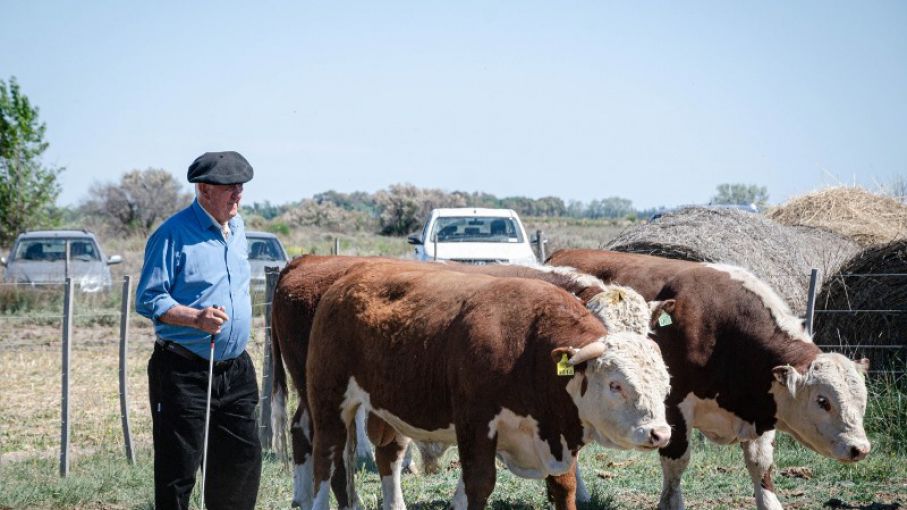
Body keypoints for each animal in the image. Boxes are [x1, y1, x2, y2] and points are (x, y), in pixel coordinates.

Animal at [270, 256, 660, 508]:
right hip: (320, 392)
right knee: (323, 445)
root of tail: (306, 261)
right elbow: (477, 478)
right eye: (614, 383)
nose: (657, 430)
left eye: (645, 331)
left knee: (365, 450)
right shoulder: (476, 420)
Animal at [548, 250, 872, 510]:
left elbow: (761, 466)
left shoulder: (763, 408)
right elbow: (676, 464)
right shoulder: (675, 407)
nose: (861, 448)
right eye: (822, 401)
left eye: (863, 400)